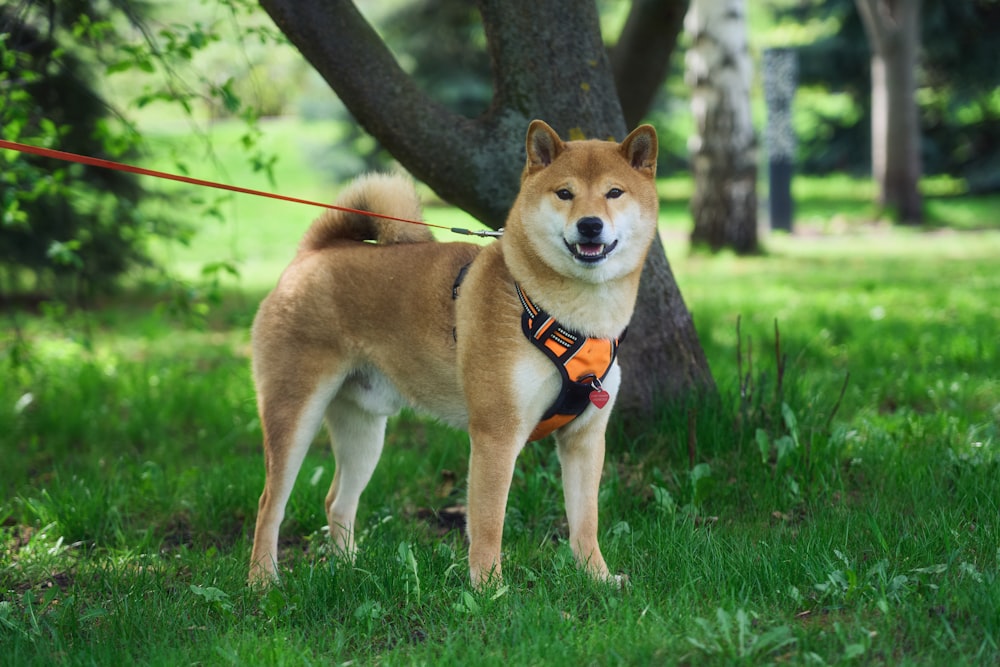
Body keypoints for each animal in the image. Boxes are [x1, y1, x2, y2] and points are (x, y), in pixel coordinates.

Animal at [248, 120, 656, 588]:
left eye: (614, 193)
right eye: (564, 193)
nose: (590, 225)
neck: (567, 314)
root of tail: (312, 255)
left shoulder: (584, 438)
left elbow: (586, 521)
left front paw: (597, 579)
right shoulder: (497, 434)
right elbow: (488, 523)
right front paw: (490, 590)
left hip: (364, 428)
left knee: (337, 500)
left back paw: (349, 568)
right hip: (294, 411)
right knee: (269, 503)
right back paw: (262, 581)